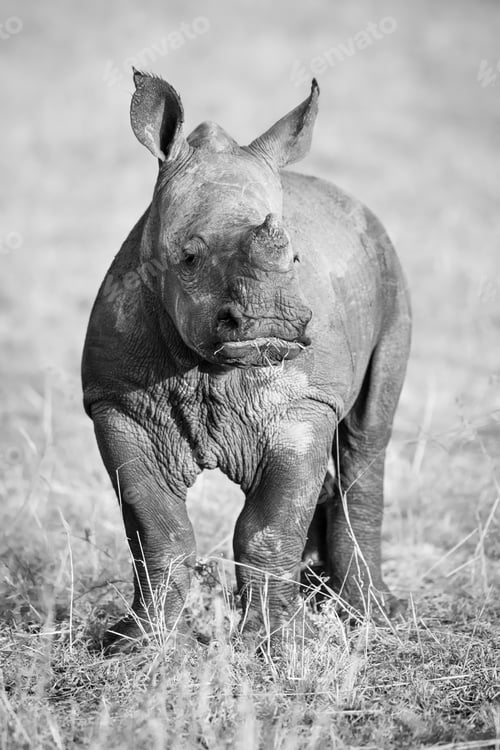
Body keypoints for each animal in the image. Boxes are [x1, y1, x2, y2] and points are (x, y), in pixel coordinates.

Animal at [82, 71, 411, 652]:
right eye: (188, 257)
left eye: (296, 257)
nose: (272, 322)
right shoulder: (116, 404)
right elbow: (157, 529)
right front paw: (134, 645)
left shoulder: (305, 404)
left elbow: (268, 528)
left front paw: (280, 643)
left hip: (390, 268)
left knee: (367, 434)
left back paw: (370, 613)